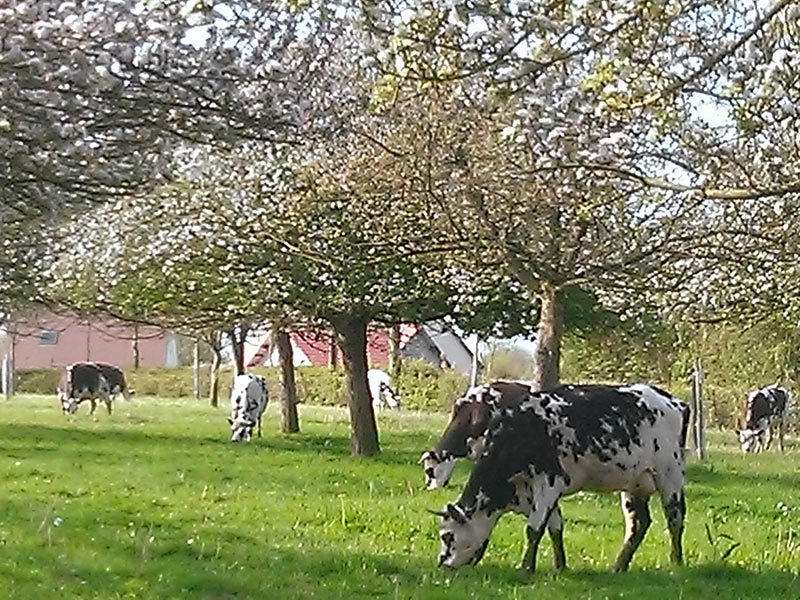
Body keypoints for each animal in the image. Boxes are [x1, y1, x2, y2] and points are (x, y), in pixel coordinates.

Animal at [432, 382, 688, 576]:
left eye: (448, 536)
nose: (442, 564)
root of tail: (674, 401)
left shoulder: (548, 482)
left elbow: (534, 530)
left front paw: (526, 568)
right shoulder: (539, 492)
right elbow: (555, 528)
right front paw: (560, 566)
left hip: (670, 475)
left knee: (674, 518)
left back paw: (676, 564)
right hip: (634, 483)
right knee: (638, 523)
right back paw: (619, 566)